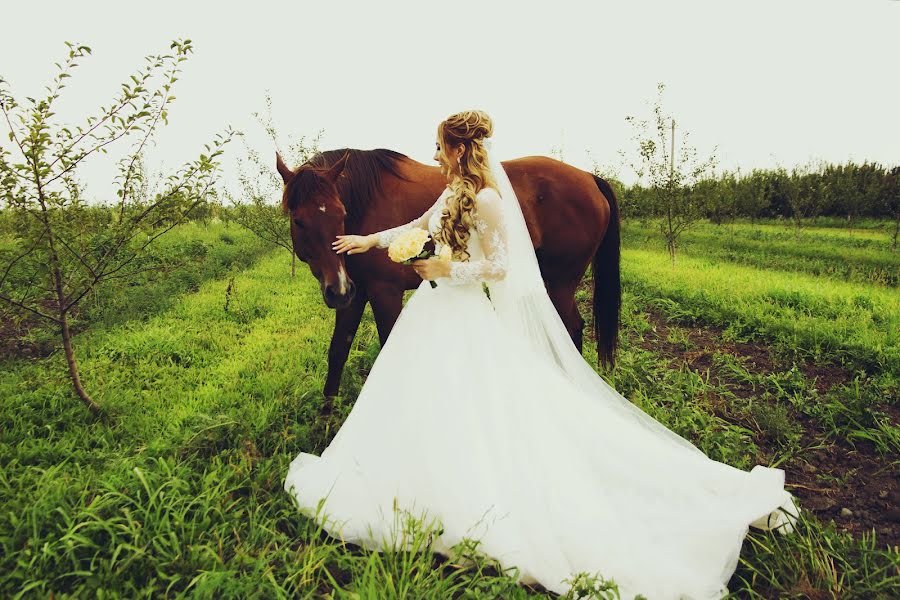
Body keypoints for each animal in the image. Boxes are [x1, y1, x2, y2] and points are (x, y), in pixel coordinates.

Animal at [278, 148, 624, 396]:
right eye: (299, 220)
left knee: (572, 327)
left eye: (341, 213)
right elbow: (338, 351)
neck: (367, 200)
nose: (337, 290)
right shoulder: (357, 292)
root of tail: (589, 177)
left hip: (560, 282)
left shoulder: (383, 292)